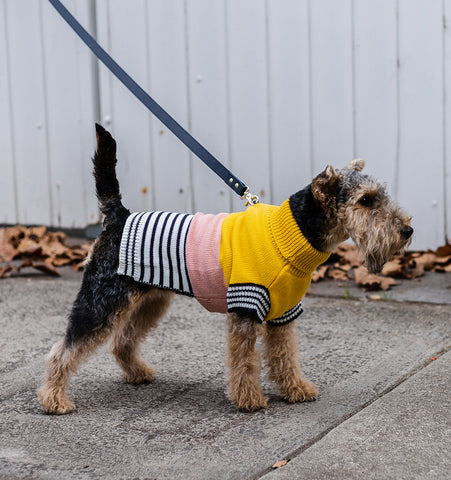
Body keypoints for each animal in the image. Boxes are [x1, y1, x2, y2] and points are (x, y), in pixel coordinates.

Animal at [38, 124, 414, 412]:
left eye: (380, 195)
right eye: (365, 200)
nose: (407, 230)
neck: (293, 232)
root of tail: (119, 216)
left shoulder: (283, 312)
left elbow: (285, 355)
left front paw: (296, 389)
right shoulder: (246, 310)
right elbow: (245, 361)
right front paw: (249, 400)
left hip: (150, 301)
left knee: (123, 341)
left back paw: (138, 373)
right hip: (100, 303)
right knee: (62, 351)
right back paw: (54, 400)